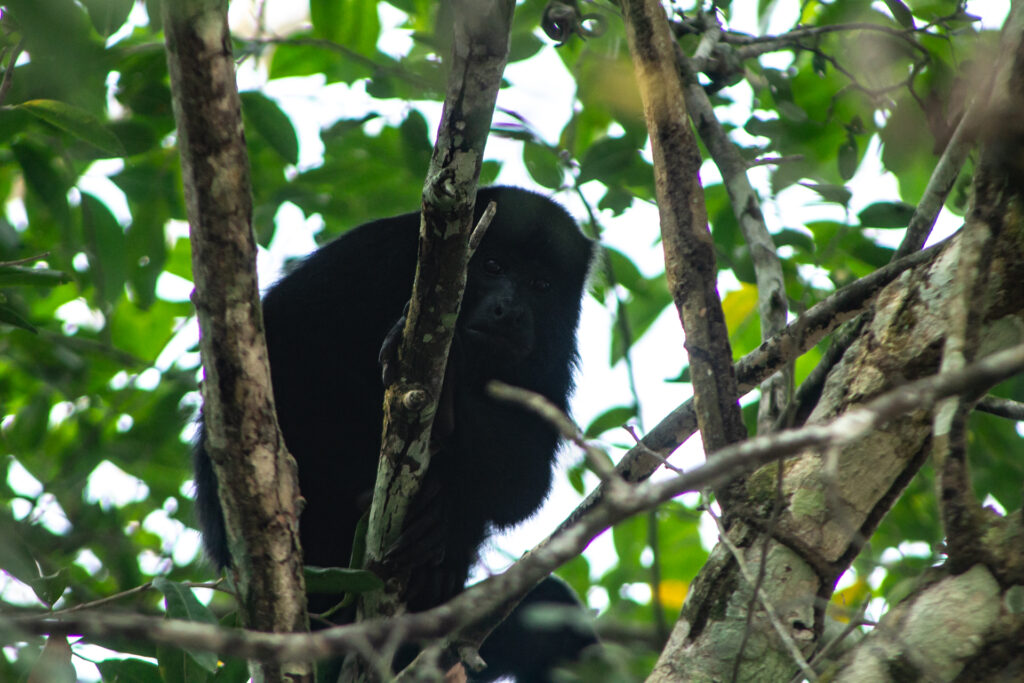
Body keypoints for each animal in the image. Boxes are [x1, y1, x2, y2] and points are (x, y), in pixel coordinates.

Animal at [192, 186, 597, 680]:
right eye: (492, 266)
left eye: (541, 286)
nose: (510, 311)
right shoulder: (376, 257)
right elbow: (286, 345)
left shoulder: (554, 354)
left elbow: (524, 483)